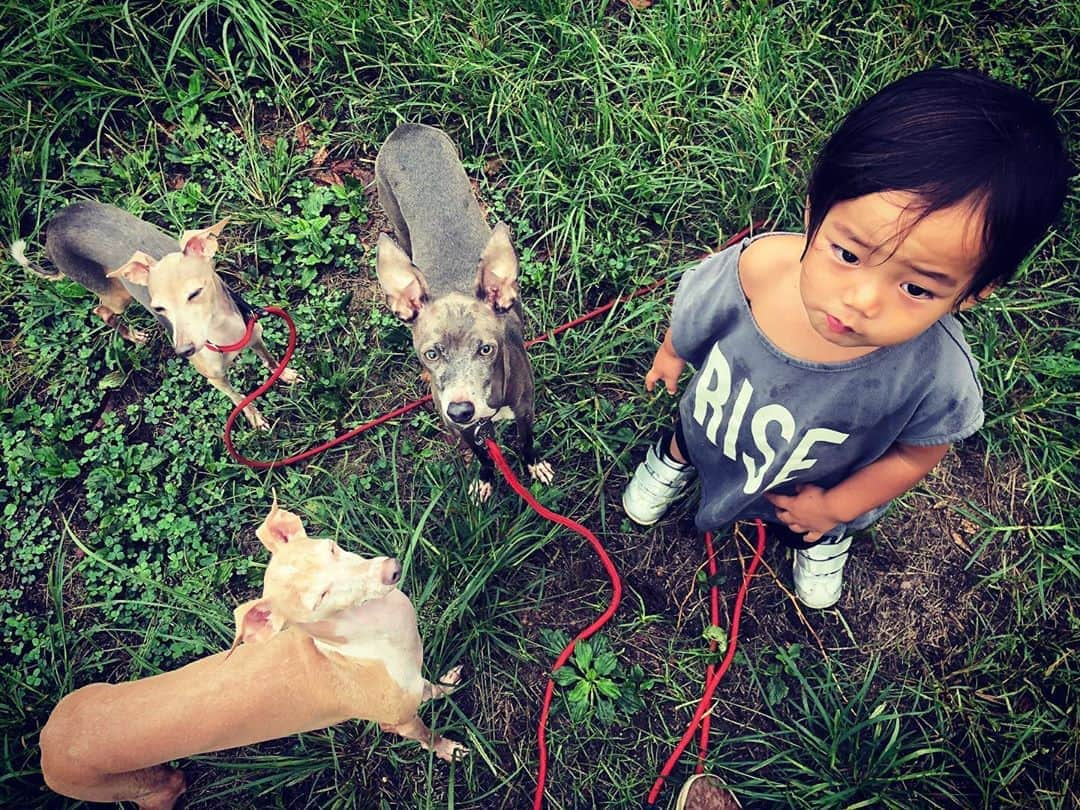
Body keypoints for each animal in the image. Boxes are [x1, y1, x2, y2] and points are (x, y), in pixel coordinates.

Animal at [39, 505, 468, 807]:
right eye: (320, 598)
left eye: (331, 547)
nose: (391, 571)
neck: (368, 643)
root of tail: (46, 741)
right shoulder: (398, 721)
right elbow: (427, 736)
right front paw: (450, 750)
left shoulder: (412, 680)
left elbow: (432, 688)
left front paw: (447, 686)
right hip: (136, 786)